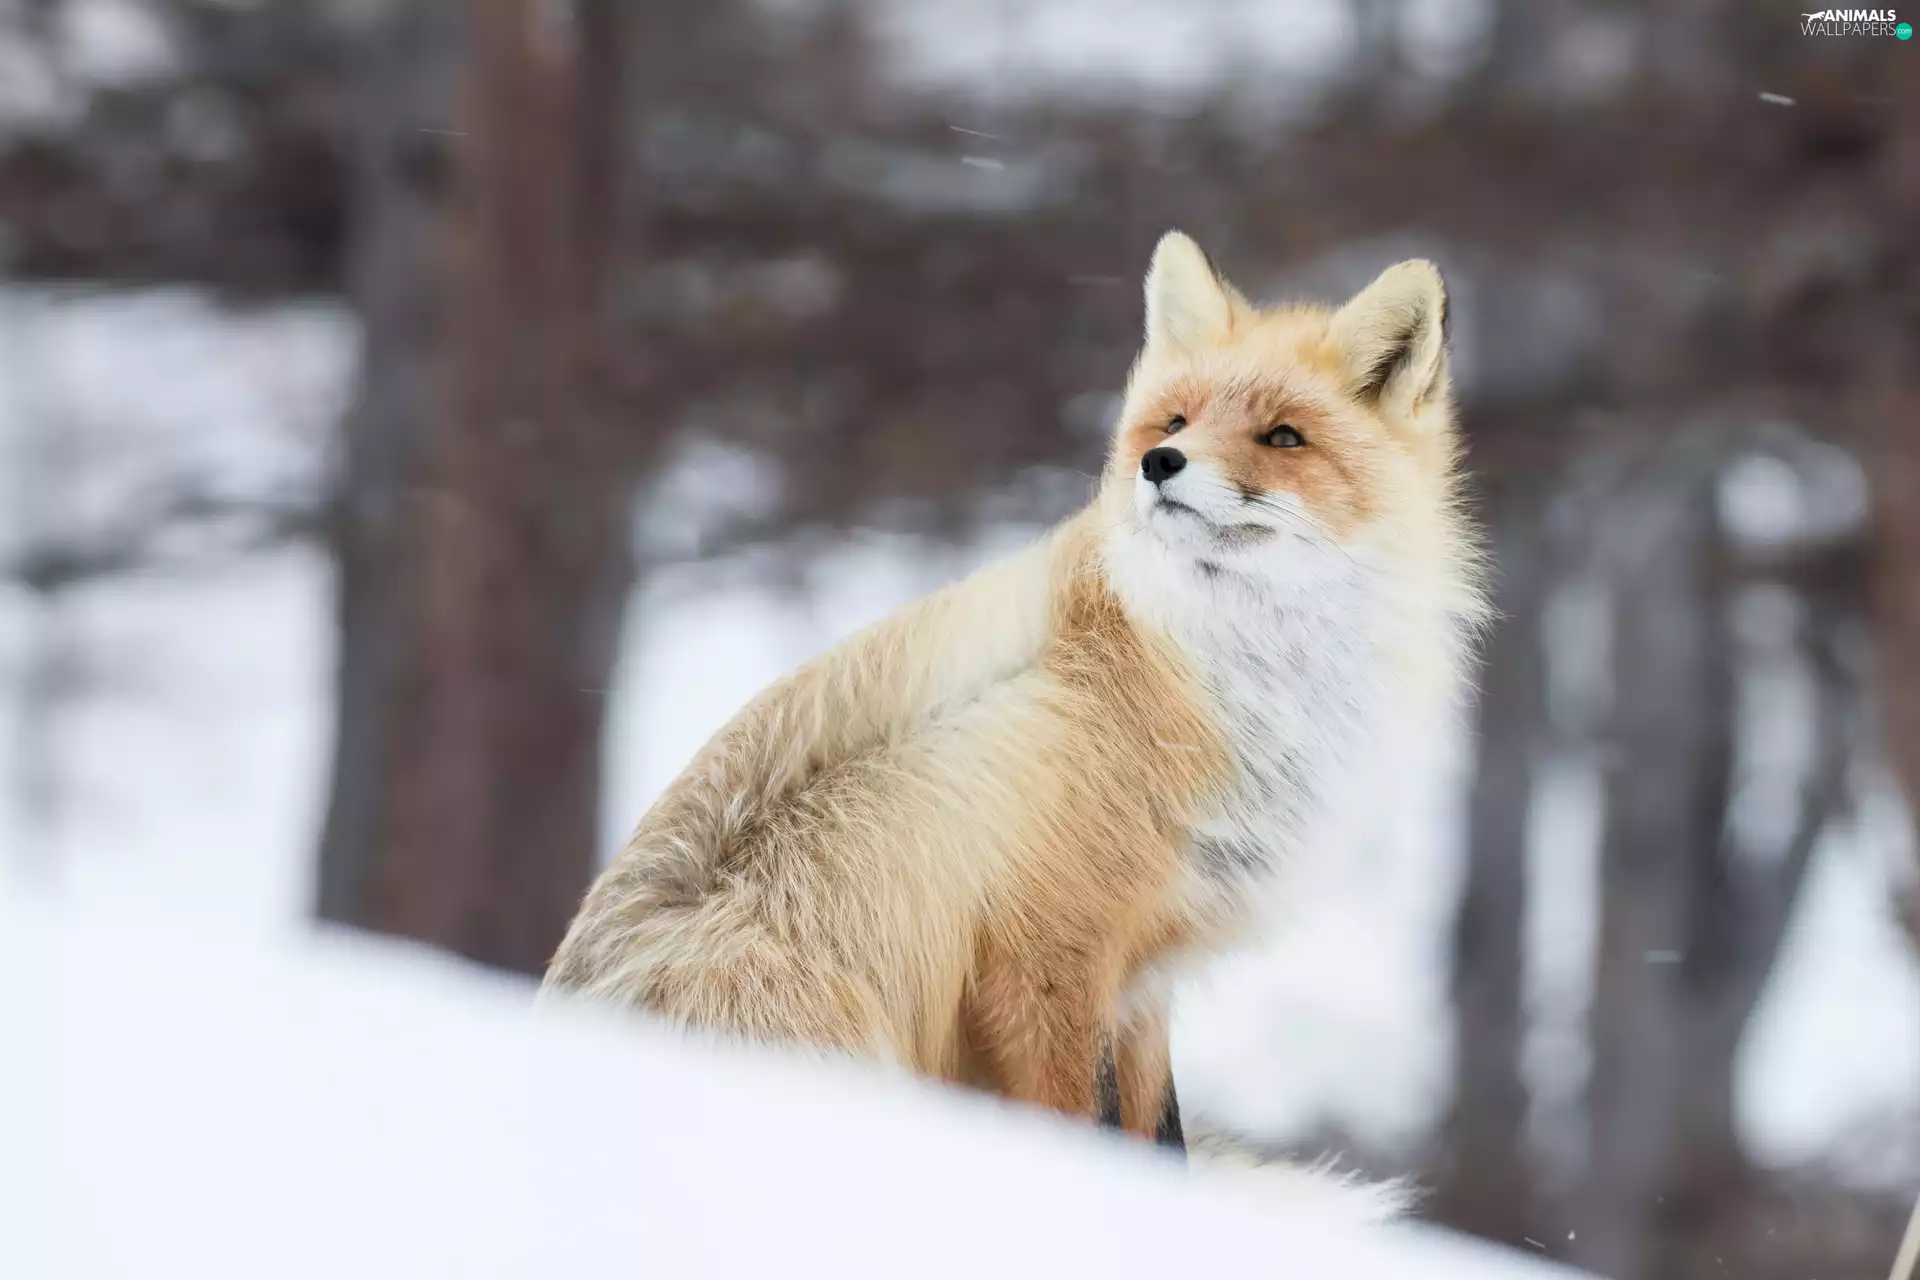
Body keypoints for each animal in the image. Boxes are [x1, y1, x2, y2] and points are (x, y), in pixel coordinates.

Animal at [543, 232, 1484, 1172]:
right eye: (1175, 423)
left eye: (1284, 437)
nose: (1161, 465)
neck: (1202, 681)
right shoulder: (1045, 960)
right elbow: (1087, 1127)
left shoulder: (1144, 976)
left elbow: (1162, 1139)